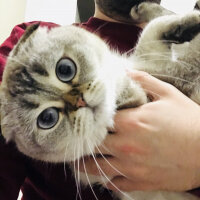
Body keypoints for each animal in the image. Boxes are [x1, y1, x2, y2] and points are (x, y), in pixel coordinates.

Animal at [0, 3, 200, 200]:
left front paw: (190, 22)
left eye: (64, 69)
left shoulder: (146, 61)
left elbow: (153, 29)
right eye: (48, 118)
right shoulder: (162, 74)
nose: (79, 101)